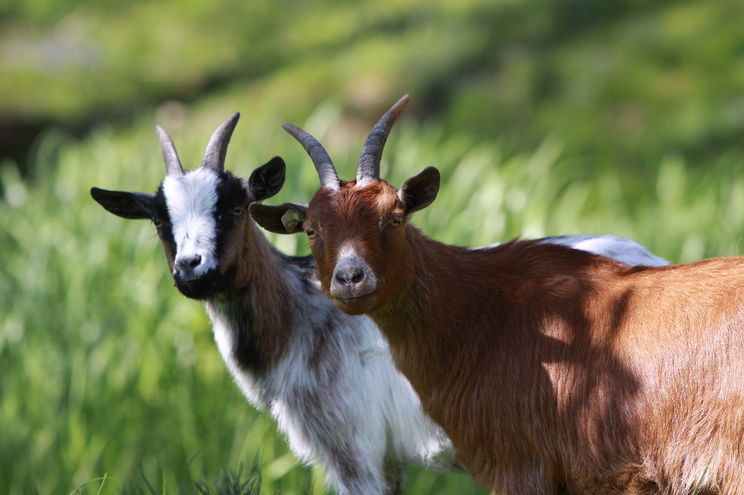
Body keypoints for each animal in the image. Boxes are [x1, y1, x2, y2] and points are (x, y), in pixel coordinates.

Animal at [90, 114, 664, 494]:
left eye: (234, 208)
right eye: (158, 221)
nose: (192, 268)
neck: (303, 317)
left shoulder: (352, 449)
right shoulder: (385, 460)